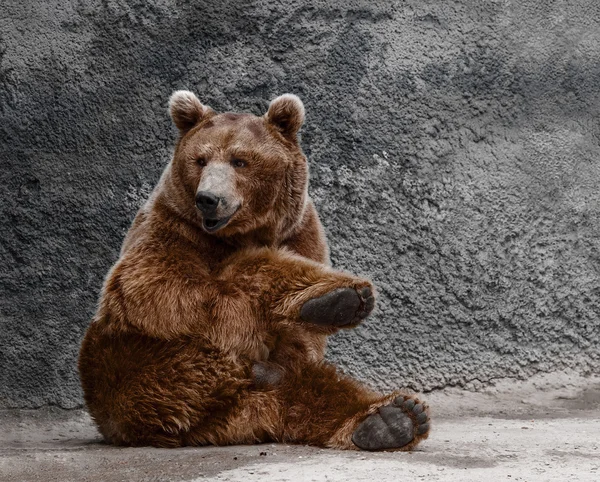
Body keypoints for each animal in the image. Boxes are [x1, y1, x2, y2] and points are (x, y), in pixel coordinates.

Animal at [77, 91, 432, 452]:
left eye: (240, 161)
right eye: (200, 160)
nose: (208, 199)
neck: (241, 233)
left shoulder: (302, 234)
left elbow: (302, 341)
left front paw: (337, 301)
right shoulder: (170, 227)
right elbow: (164, 290)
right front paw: (331, 297)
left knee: (310, 389)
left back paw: (391, 418)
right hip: (128, 366)